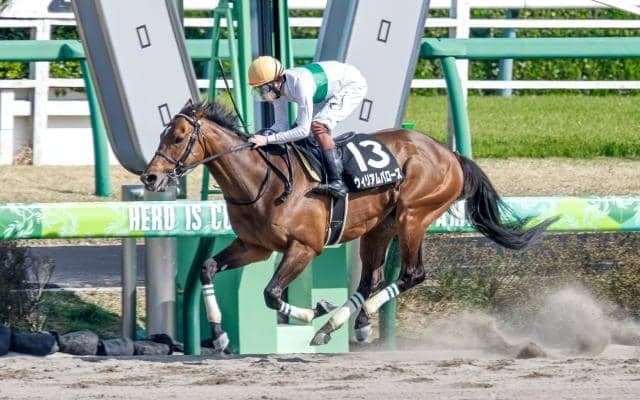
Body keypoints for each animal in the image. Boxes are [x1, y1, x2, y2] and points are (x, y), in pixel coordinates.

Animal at [140, 100, 557, 350]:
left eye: (178, 137)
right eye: (162, 134)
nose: (150, 177)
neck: (262, 181)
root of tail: (449, 153)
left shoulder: (304, 247)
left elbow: (272, 294)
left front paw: (315, 311)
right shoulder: (254, 246)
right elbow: (208, 269)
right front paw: (221, 334)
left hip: (413, 216)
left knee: (411, 274)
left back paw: (338, 323)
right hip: (380, 227)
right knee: (371, 279)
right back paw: (353, 324)